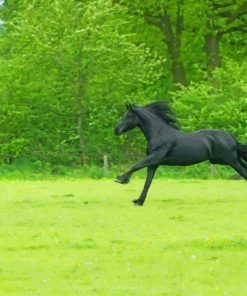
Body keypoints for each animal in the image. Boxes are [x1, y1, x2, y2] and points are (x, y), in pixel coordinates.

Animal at [115, 101, 247, 206]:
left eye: (128, 116)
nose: (116, 130)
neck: (159, 133)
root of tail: (230, 136)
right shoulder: (154, 164)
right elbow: (147, 182)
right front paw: (139, 201)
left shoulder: (154, 157)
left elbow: (136, 165)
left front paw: (121, 179)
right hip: (224, 160)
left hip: (231, 160)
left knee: (244, 171)